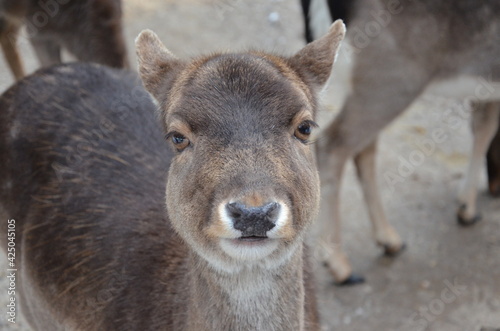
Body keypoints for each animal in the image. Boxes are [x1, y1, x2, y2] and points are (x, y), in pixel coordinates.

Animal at [300, 0, 500, 286]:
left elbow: (484, 125)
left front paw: (466, 208)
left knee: (363, 147)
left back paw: (388, 239)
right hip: (392, 77)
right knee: (334, 144)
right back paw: (339, 264)